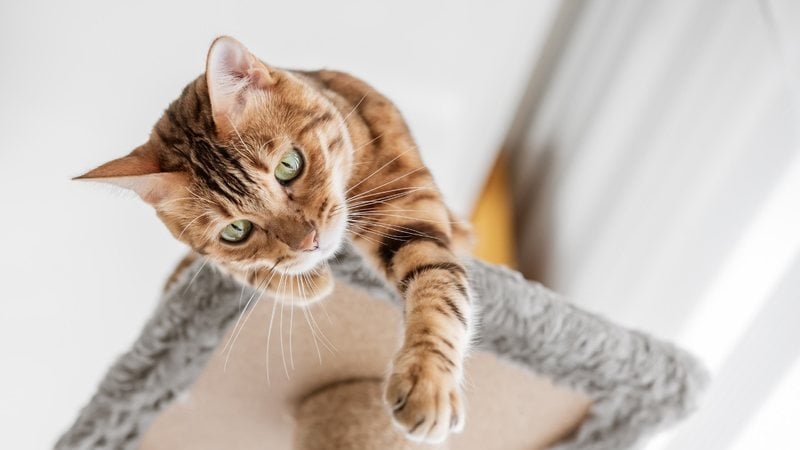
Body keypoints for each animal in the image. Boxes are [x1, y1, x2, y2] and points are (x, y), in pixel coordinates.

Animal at [76, 35, 476, 442]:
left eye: (289, 165)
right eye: (236, 230)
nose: (310, 242)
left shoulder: (409, 207)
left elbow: (440, 286)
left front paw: (427, 381)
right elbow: (235, 266)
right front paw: (306, 280)